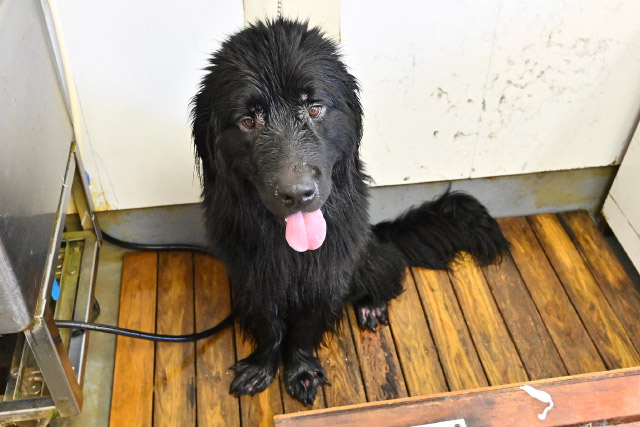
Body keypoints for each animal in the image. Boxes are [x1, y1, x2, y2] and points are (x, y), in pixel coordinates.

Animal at [191, 20, 510, 406]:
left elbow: (305, 328)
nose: (298, 194)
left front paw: (301, 371)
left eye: (314, 109)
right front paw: (261, 367)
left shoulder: (327, 274)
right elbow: (270, 327)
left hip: (365, 257)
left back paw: (372, 305)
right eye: (248, 121)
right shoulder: (253, 276)